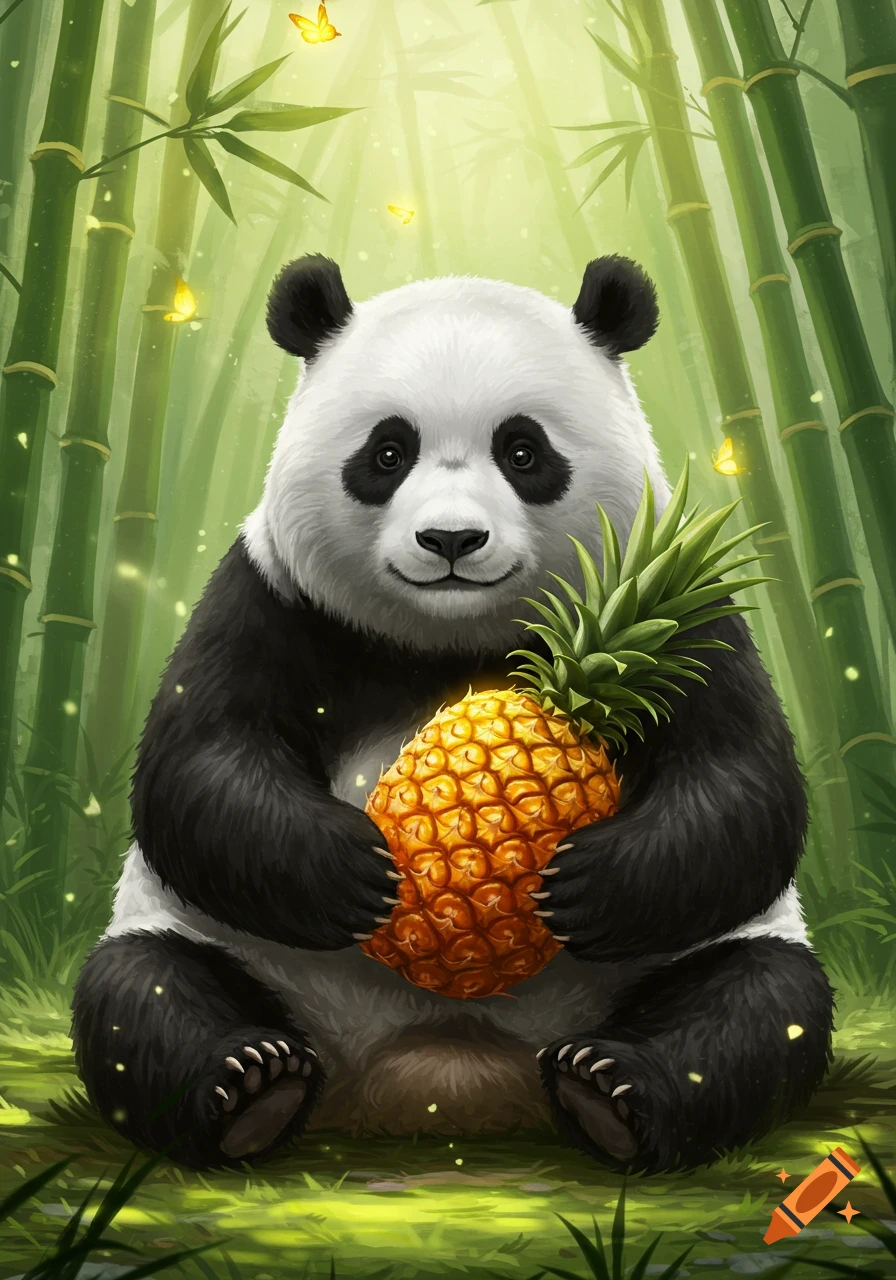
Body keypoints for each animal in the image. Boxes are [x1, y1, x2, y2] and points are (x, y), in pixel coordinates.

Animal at [72, 254, 834, 1174]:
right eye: (387, 451)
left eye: (524, 450)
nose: (451, 541)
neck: (452, 642)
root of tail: (435, 1074)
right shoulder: (269, 594)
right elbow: (200, 762)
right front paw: (354, 868)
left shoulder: (677, 615)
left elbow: (740, 783)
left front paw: (583, 883)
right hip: (225, 949)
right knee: (141, 991)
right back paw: (253, 1084)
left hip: (676, 971)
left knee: (758, 1003)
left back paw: (610, 1089)